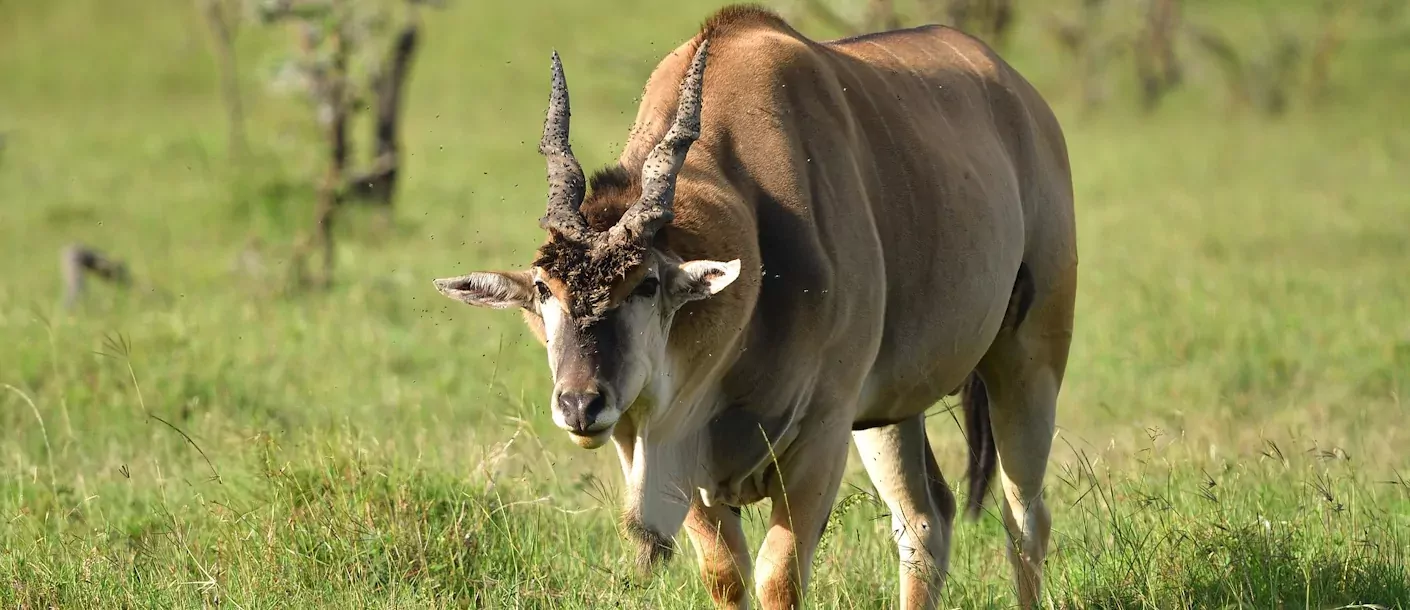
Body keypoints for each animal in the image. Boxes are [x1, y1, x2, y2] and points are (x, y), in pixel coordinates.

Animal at [434, 5, 1071, 608]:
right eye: (545, 288)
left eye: (646, 284)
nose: (579, 404)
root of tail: (1022, 97)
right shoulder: (688, 457)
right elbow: (726, 575)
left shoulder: (820, 440)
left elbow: (777, 577)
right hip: (888, 413)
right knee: (925, 519)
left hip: (1027, 366)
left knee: (1024, 519)